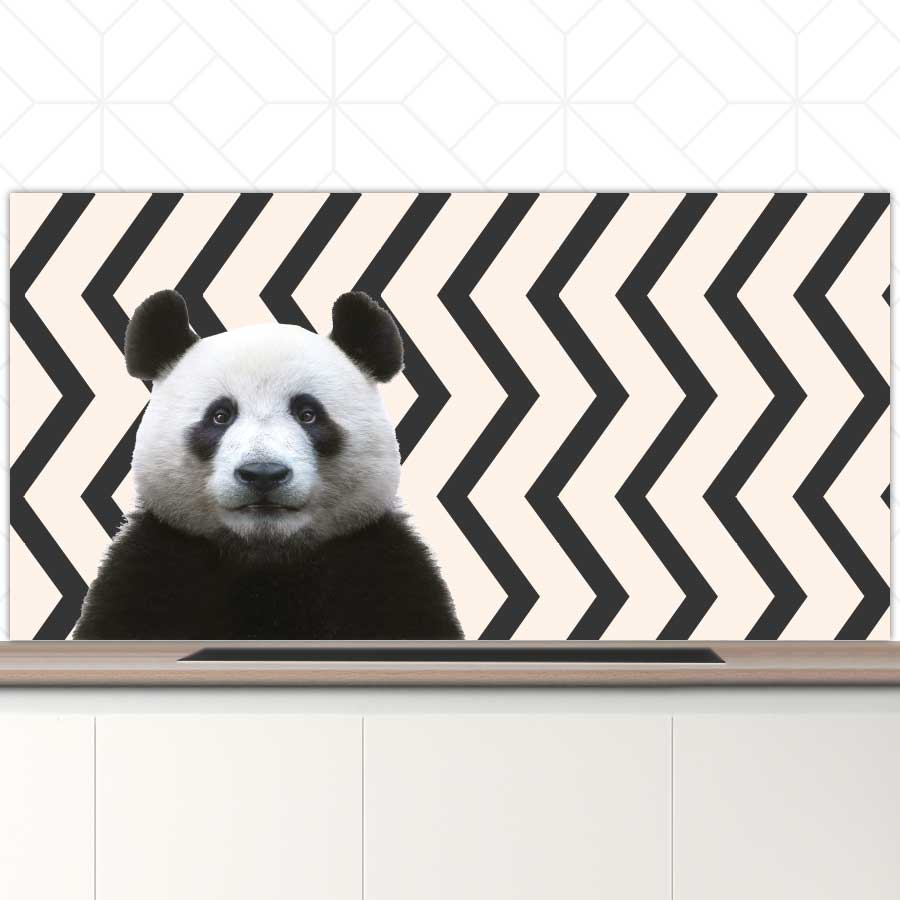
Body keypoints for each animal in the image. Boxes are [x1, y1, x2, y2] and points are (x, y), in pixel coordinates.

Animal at [73, 289, 463, 640]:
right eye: (220, 415)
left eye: (308, 414)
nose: (263, 474)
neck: (266, 558)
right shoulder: (154, 567)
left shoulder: (380, 567)